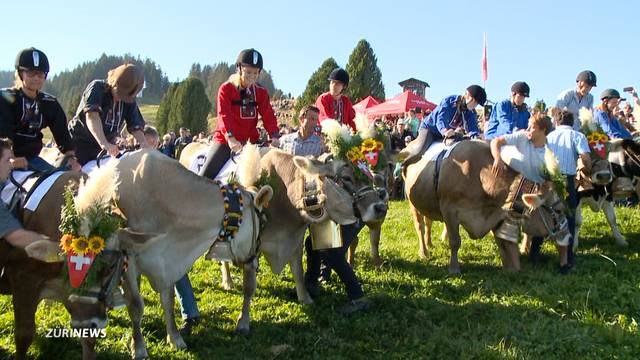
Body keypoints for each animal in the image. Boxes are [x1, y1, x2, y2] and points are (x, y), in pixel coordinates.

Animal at [404, 140, 568, 272]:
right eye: (559, 210)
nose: (568, 237)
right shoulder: (449, 210)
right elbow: (455, 241)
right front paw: (454, 268)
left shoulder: (496, 214)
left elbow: (503, 242)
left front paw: (510, 267)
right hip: (413, 203)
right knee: (420, 226)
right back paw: (424, 252)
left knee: (428, 222)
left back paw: (429, 244)